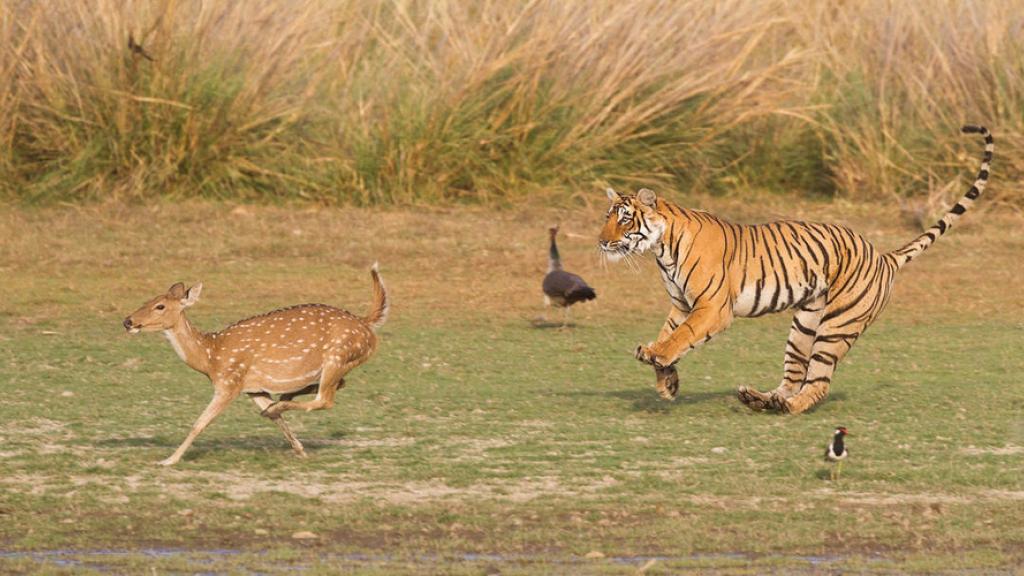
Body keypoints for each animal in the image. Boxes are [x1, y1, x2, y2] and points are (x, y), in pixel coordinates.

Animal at [122, 264, 389, 466]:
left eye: (160, 306)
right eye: (148, 300)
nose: (128, 321)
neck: (210, 356)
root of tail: (367, 324)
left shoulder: (229, 382)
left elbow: (199, 423)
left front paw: (169, 460)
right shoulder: (253, 388)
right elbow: (275, 419)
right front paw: (299, 449)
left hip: (337, 356)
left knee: (326, 398)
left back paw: (282, 402)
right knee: (337, 386)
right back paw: (283, 400)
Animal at [598, 125, 993, 414]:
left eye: (625, 219)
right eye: (607, 218)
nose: (601, 241)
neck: (662, 250)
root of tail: (883, 257)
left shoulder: (711, 308)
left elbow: (681, 337)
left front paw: (658, 357)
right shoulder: (681, 304)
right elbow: (672, 333)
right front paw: (666, 381)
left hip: (836, 326)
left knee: (817, 384)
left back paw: (786, 406)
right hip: (805, 323)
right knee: (793, 377)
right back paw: (762, 399)